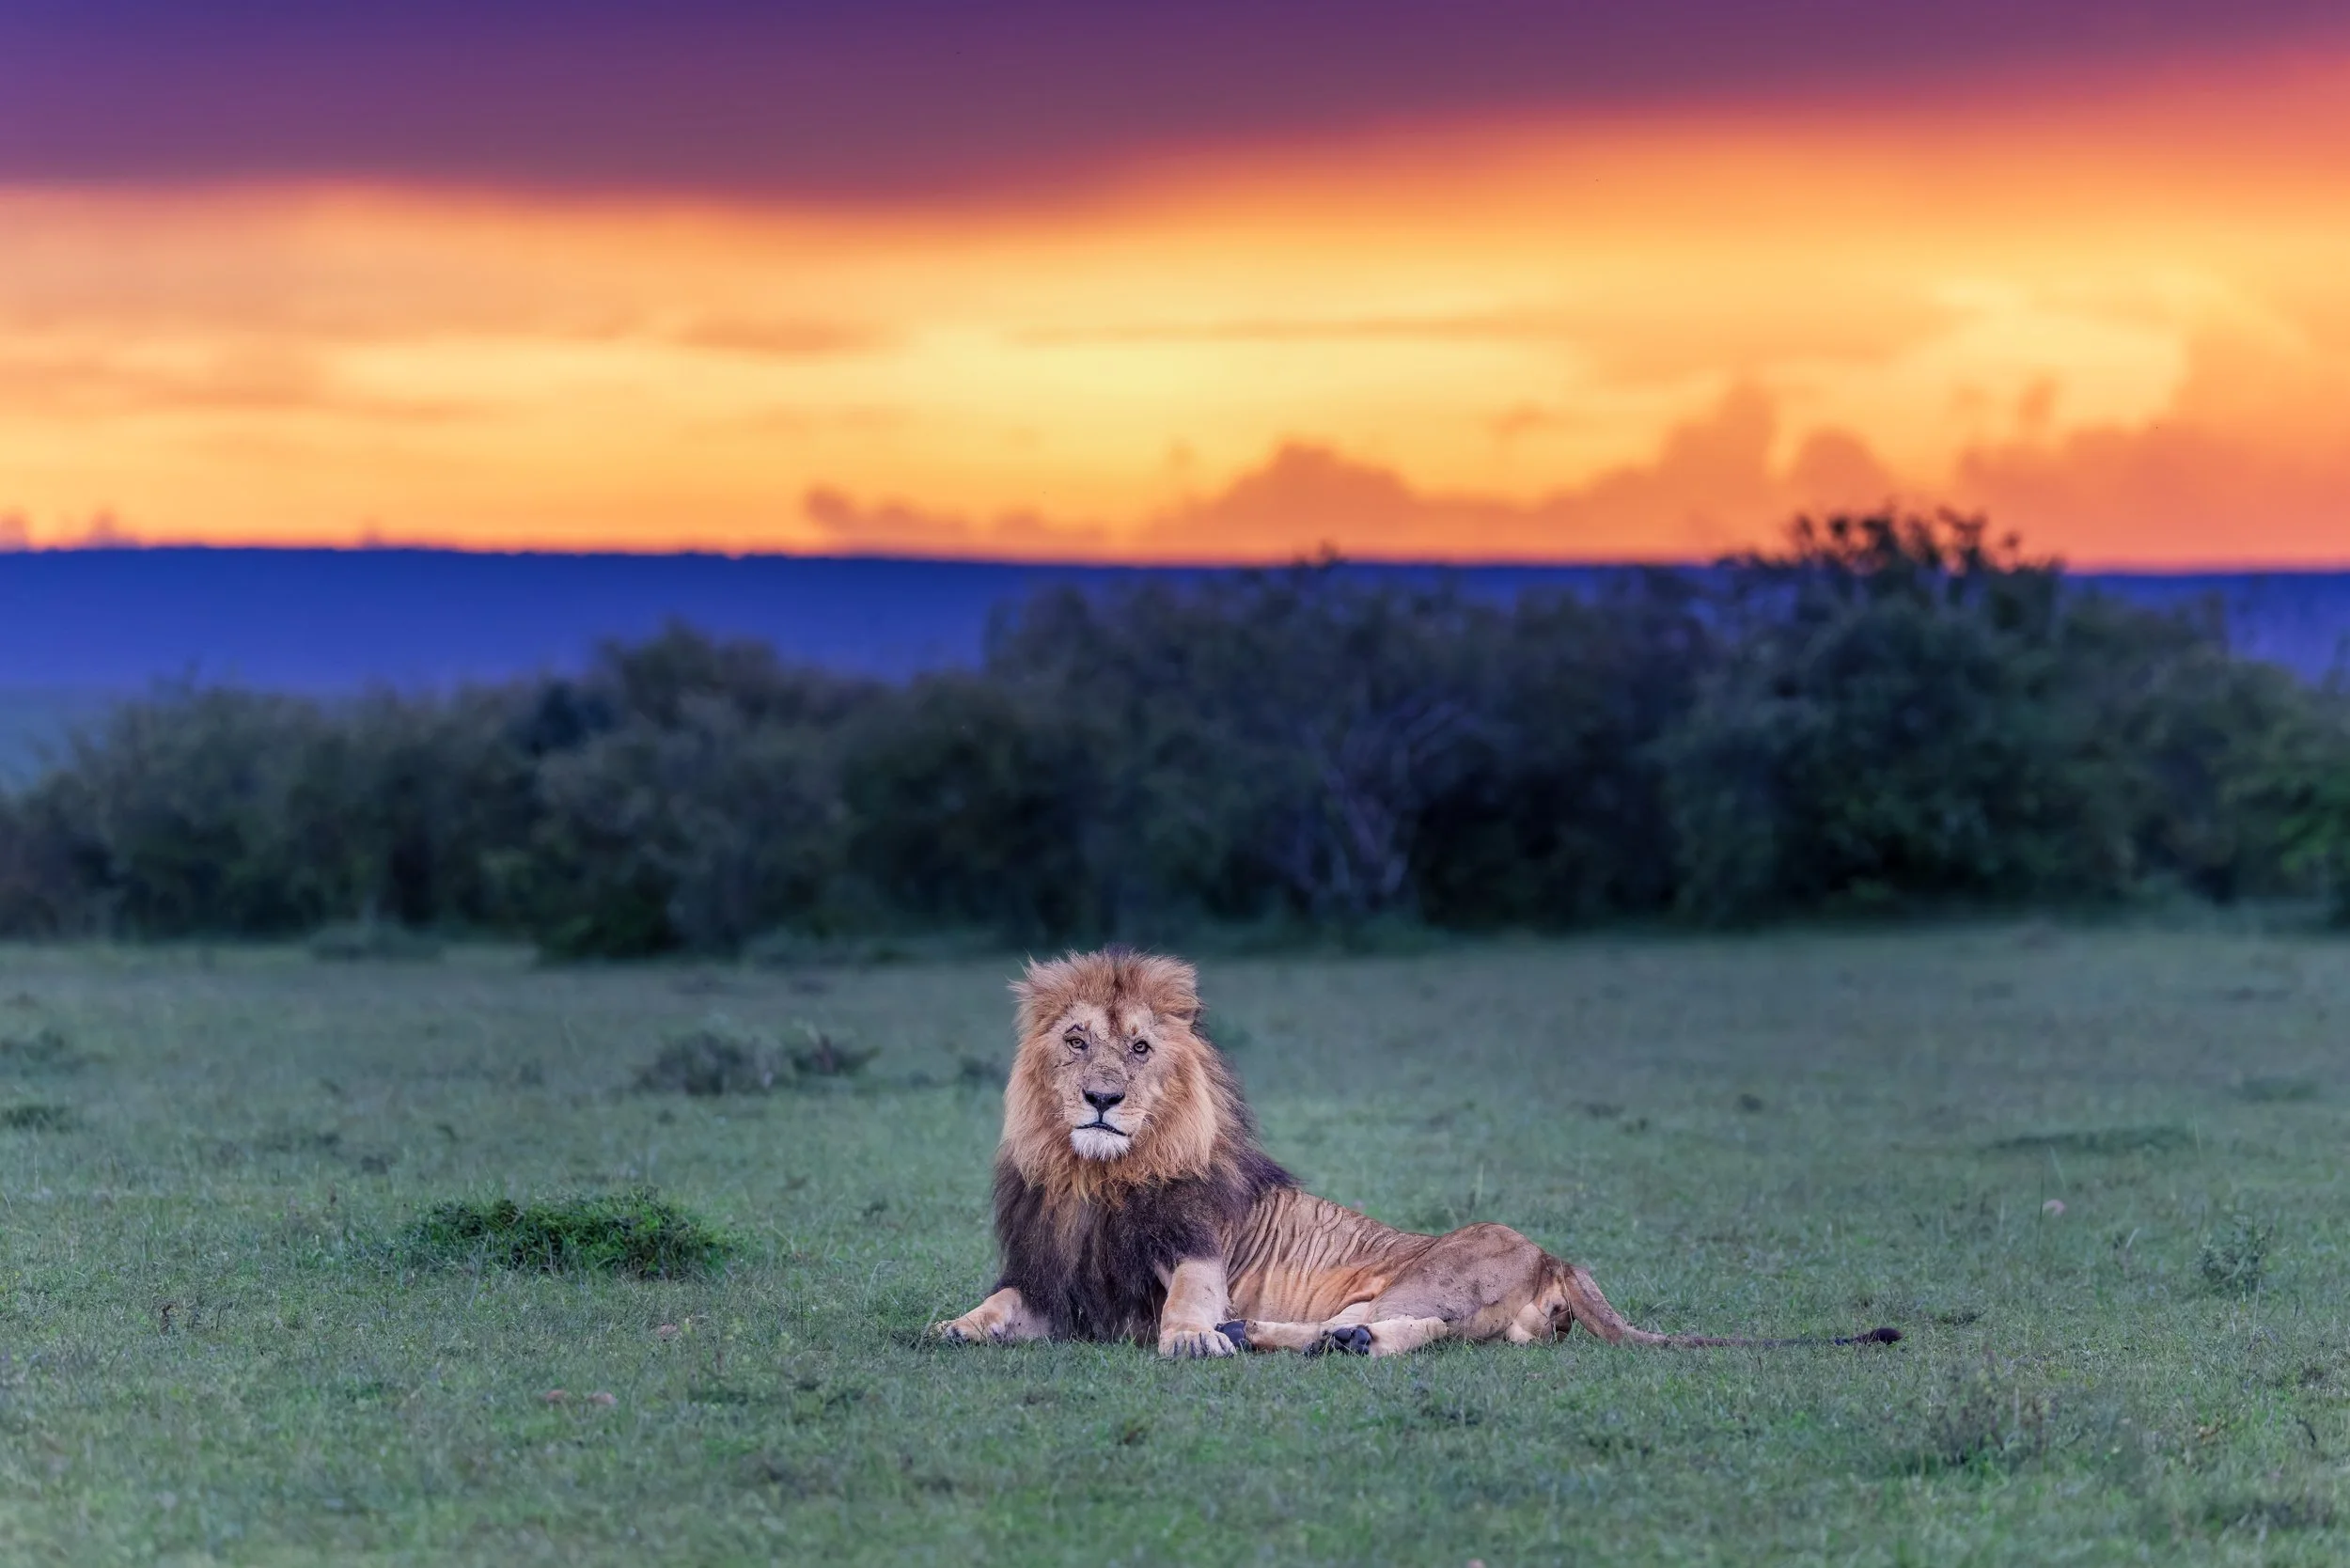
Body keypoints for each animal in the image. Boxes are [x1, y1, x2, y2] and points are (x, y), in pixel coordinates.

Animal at [936, 948, 1901, 1359]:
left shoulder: (1198, 1254)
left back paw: (1297, 1336)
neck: (1097, 1180)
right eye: (1076, 1043)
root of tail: (1554, 1256)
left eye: (1139, 1049)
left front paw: (1194, 1340)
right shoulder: (1054, 1281)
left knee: (1421, 1325)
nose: (1101, 1099)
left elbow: (1185, 1304)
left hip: (1418, 1275)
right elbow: (998, 1306)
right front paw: (953, 1327)